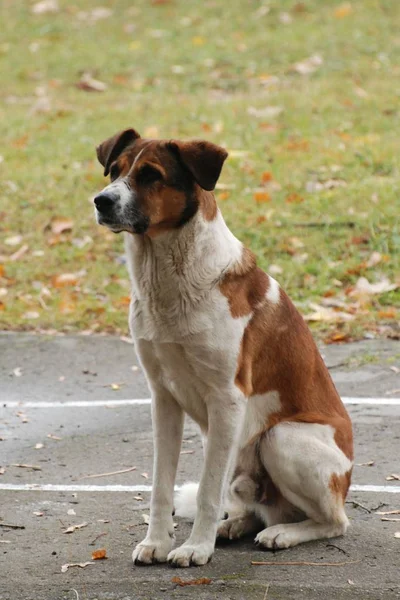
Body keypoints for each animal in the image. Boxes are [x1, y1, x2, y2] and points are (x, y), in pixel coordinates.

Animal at [94, 126, 354, 568]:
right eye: (115, 170)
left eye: (150, 175)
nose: (101, 200)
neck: (168, 281)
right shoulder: (163, 398)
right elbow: (162, 486)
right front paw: (158, 542)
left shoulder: (227, 399)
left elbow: (206, 490)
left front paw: (195, 548)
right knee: (253, 509)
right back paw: (234, 526)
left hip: (280, 438)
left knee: (333, 521)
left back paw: (282, 533)